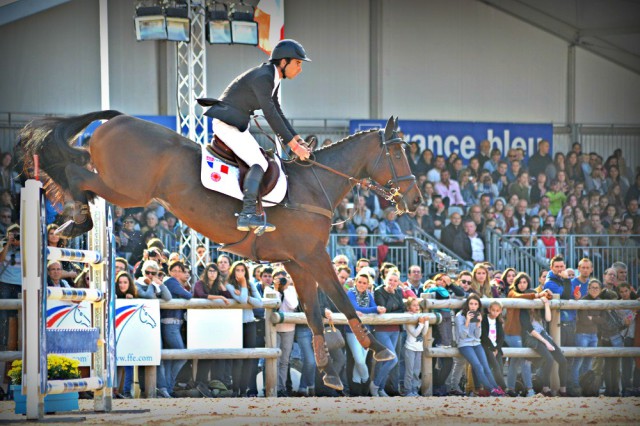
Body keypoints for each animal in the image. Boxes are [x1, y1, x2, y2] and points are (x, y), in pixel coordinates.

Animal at [20, 111, 422, 392]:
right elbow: (340, 299)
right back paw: (77, 216)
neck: (314, 183)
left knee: (78, 171)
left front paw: (327, 372)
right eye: (398, 153)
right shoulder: (314, 257)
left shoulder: (297, 263)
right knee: (77, 174)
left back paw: (73, 221)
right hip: (128, 189)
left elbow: (313, 313)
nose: (416, 201)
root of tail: (115, 119)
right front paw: (377, 347)